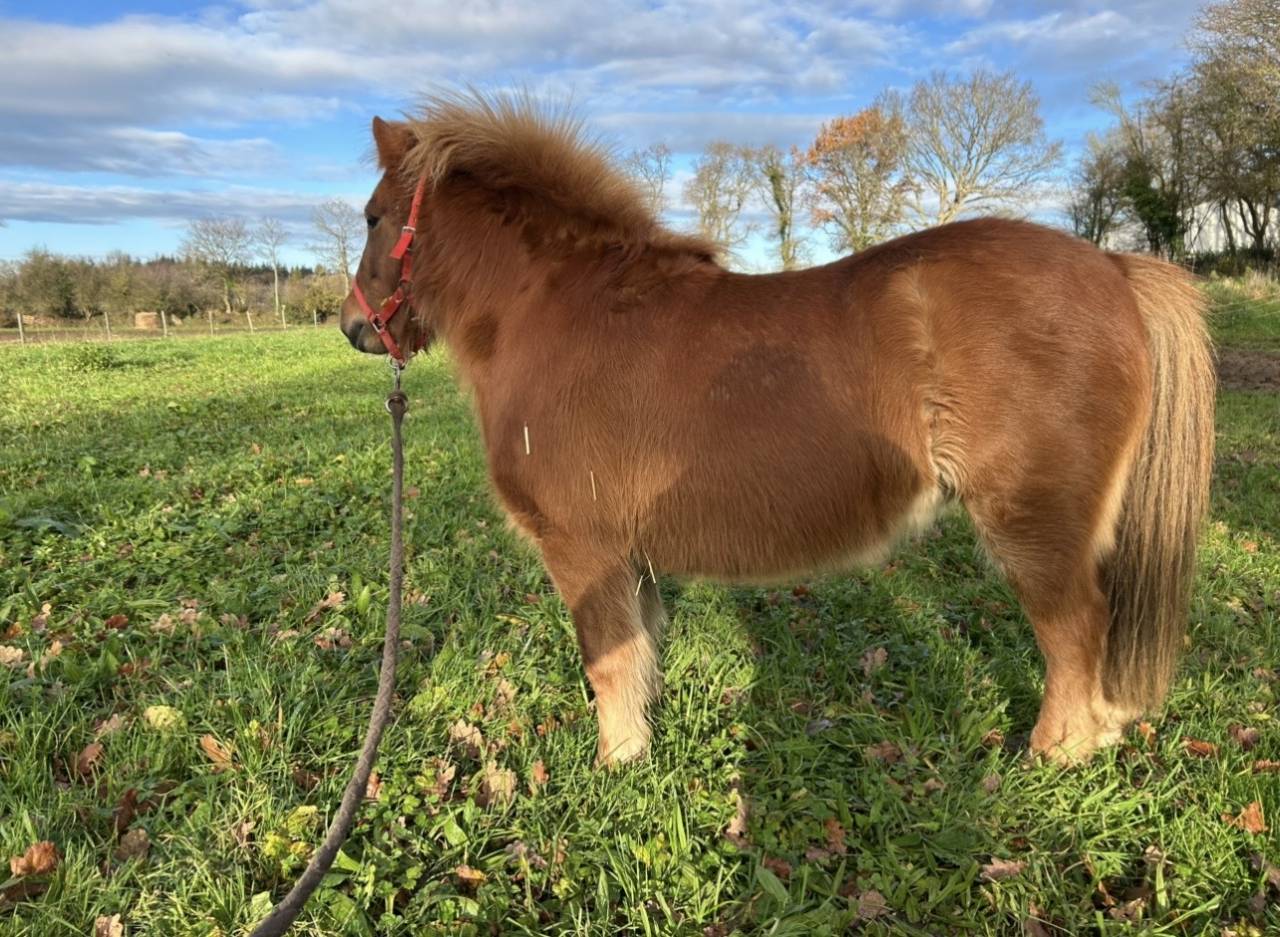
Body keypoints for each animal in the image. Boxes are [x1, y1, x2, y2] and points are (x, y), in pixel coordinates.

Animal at [339, 92, 1214, 766]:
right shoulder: (630, 557)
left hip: (1034, 525)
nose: (352, 326)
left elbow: (608, 663)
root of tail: (1113, 267)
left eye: (375, 217)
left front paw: (615, 765)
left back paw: (1052, 757)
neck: (556, 309)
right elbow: (641, 654)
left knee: (1076, 632)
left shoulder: (582, 550)